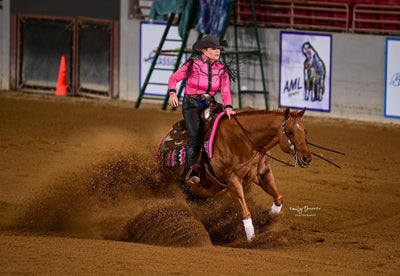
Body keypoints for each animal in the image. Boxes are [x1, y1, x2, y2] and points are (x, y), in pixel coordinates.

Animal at [158, 106, 310, 240]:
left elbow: (278, 198)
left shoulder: (263, 173)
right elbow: (245, 213)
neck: (243, 141)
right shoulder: (232, 180)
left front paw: (268, 221)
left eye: (305, 131)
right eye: (290, 132)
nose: (307, 158)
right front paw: (252, 240)